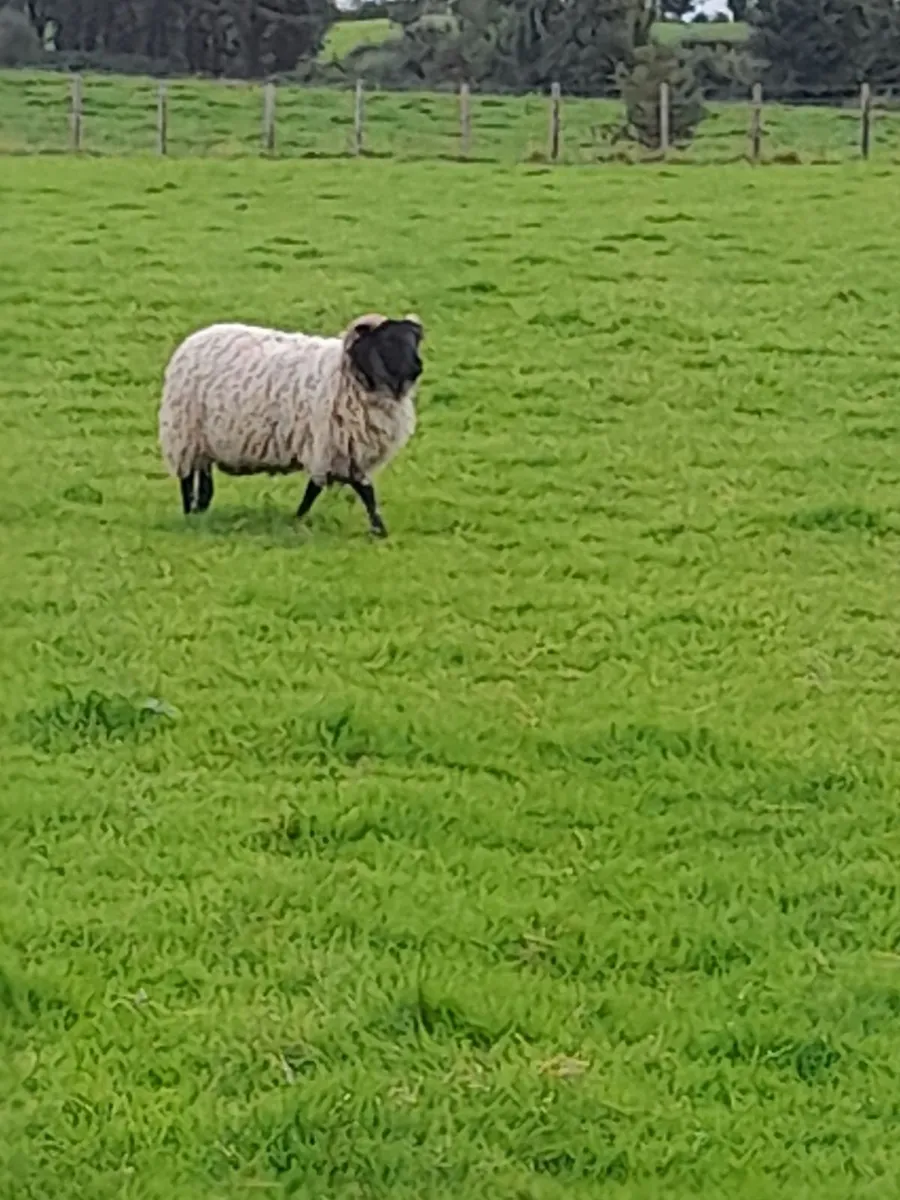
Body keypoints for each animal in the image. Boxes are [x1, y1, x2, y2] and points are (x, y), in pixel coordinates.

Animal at [157, 311, 424, 538]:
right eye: (387, 341)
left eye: (413, 340)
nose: (417, 368)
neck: (349, 376)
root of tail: (194, 338)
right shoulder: (334, 445)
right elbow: (360, 490)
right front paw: (378, 530)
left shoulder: (342, 450)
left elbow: (330, 488)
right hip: (185, 433)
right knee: (186, 478)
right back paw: (189, 515)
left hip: (204, 441)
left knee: (204, 482)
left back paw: (200, 512)